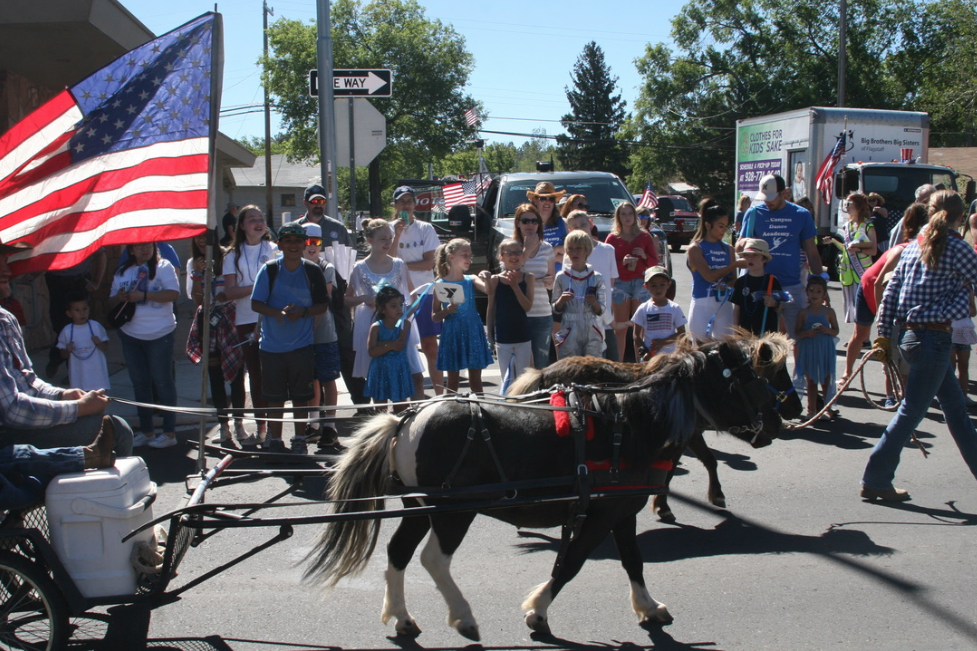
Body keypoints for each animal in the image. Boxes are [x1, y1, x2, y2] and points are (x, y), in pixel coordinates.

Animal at [504, 334, 800, 524]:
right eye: (770, 376)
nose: (788, 415)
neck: (687, 390)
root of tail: (542, 374)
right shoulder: (679, 439)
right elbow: (671, 473)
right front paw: (665, 507)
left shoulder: (689, 435)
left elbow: (708, 460)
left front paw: (715, 496)